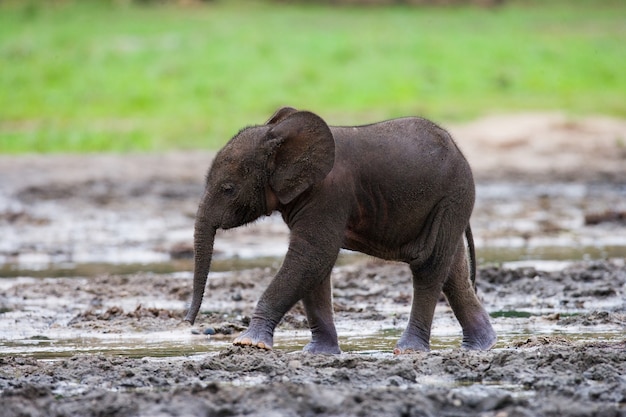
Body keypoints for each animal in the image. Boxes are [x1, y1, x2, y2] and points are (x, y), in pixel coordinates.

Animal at [183, 107, 494, 354]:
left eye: (228, 189)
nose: (188, 322)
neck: (279, 136)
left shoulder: (329, 195)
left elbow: (312, 256)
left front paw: (248, 343)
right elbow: (315, 268)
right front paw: (318, 354)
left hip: (453, 196)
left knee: (429, 265)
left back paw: (409, 350)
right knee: (452, 270)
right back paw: (480, 346)